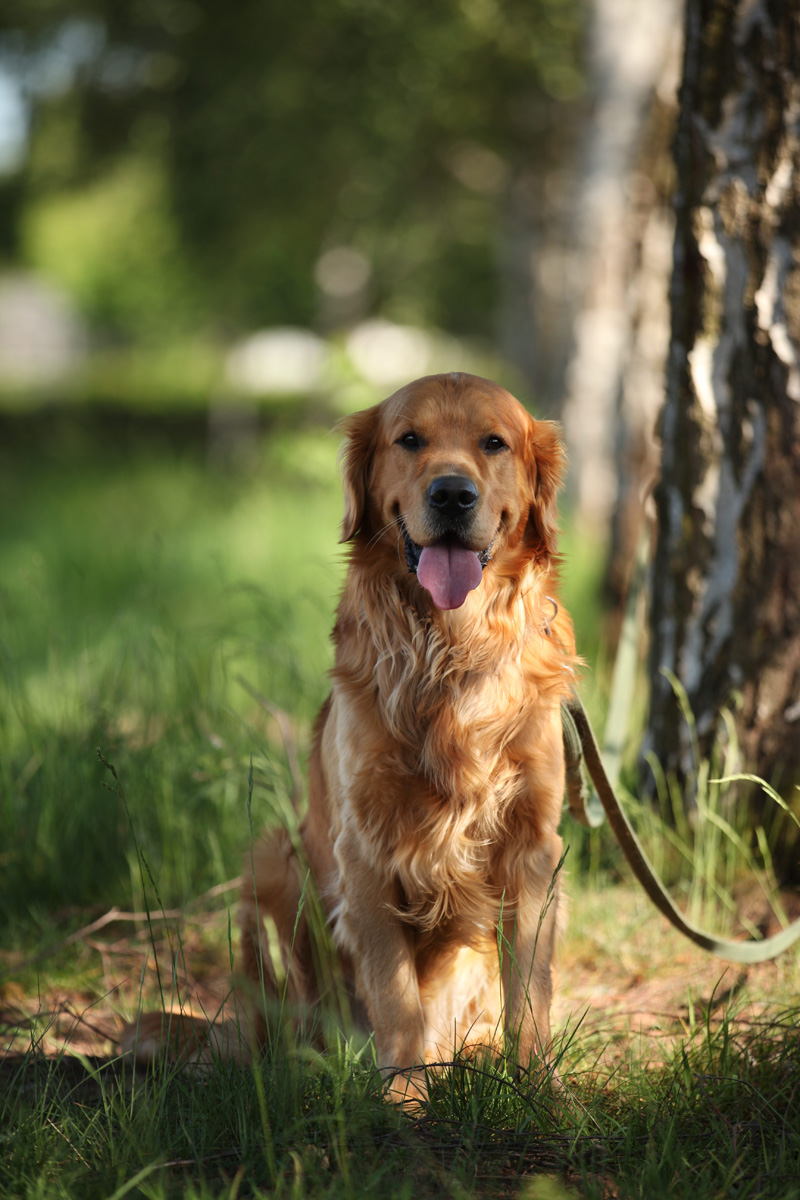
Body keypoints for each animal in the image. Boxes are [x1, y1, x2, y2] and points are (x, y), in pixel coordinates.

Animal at [235, 369, 578, 1094]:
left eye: (494, 443)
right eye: (409, 440)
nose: (451, 493)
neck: (450, 650)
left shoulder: (533, 846)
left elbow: (530, 990)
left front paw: (539, 1093)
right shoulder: (364, 847)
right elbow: (395, 998)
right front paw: (404, 1098)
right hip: (271, 862)